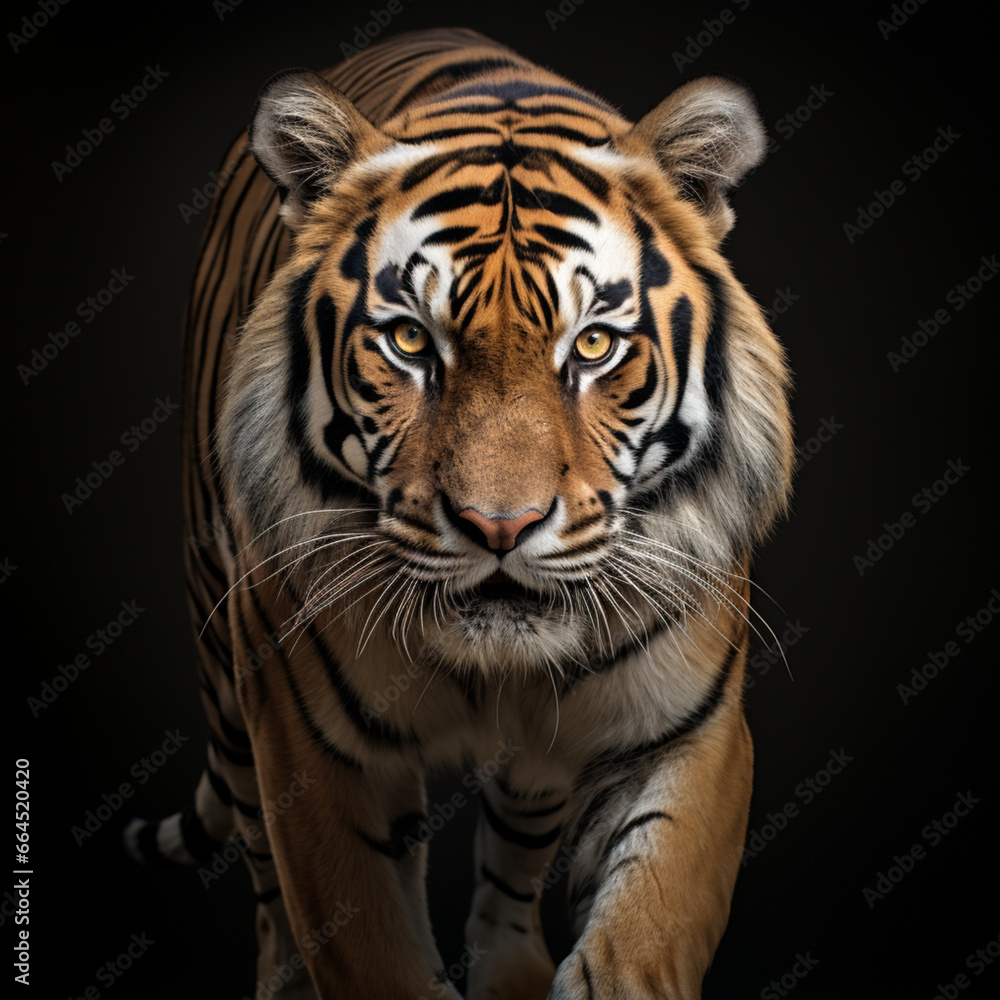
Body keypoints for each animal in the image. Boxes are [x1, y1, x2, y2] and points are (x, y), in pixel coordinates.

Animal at [125, 26, 793, 1000]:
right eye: (410, 340)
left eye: (594, 344)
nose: (499, 527)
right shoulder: (311, 752)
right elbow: (365, 941)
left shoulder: (690, 734)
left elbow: (645, 930)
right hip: (230, 677)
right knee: (265, 874)